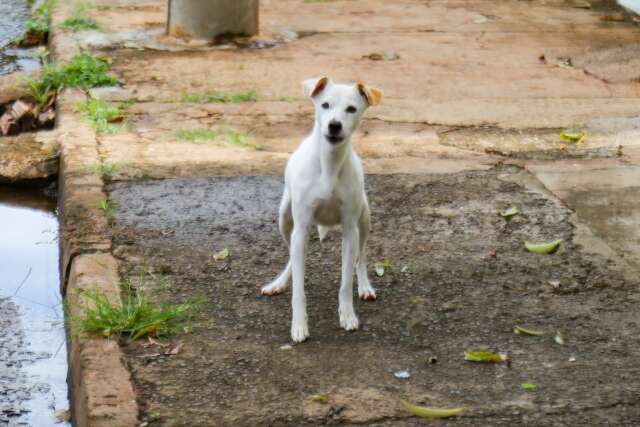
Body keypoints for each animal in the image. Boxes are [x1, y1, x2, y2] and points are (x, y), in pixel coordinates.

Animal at [262, 77, 382, 342]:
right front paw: (299, 325)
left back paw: (365, 286)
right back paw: (279, 283)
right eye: (325, 105)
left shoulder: (350, 230)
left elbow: (346, 281)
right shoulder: (300, 229)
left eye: (351, 109)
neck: (329, 162)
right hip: (285, 219)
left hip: (364, 220)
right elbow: (299, 288)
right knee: (291, 256)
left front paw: (347, 315)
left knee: (361, 256)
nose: (334, 125)